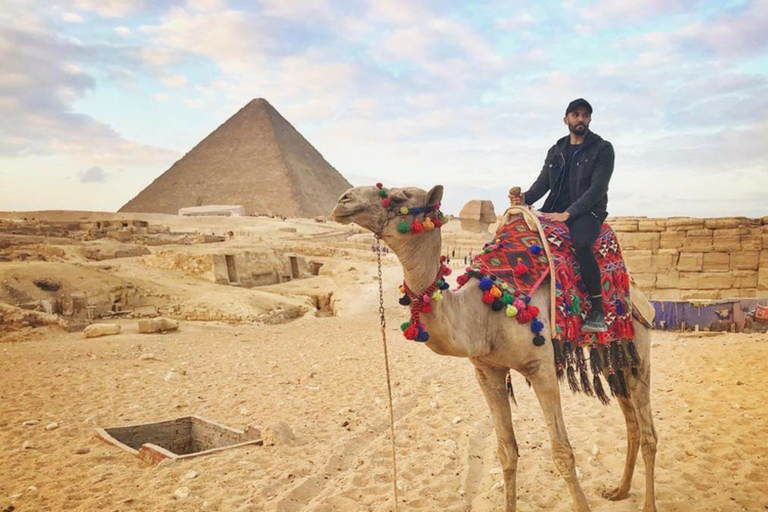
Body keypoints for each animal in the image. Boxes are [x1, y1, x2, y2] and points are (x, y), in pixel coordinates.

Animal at [332, 185, 660, 512]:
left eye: (399, 196)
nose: (343, 200)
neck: (484, 311)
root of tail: (638, 293)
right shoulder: (487, 370)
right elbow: (507, 451)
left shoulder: (540, 368)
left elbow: (562, 453)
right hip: (612, 355)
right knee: (631, 422)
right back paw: (619, 490)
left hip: (638, 347)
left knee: (648, 432)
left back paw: (647, 504)